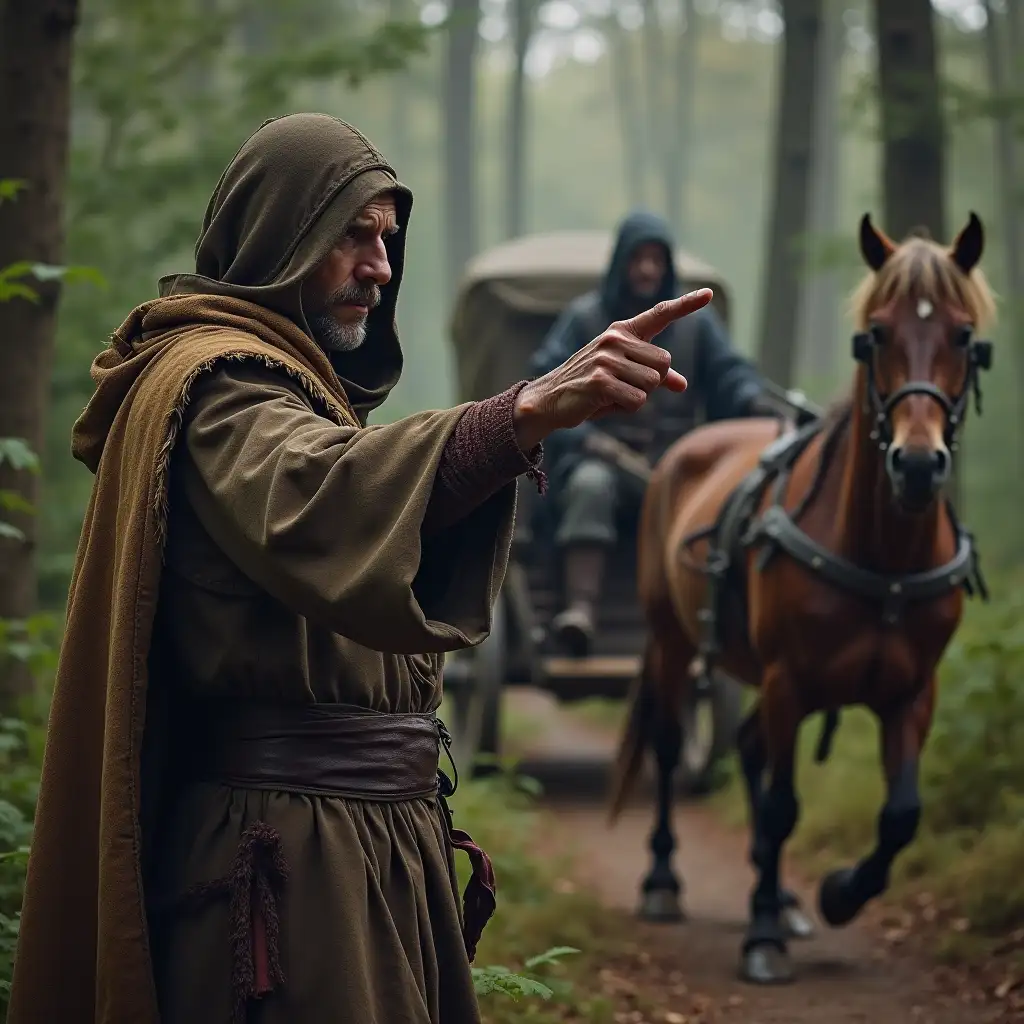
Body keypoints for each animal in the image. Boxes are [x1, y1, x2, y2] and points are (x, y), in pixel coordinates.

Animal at [606, 209, 991, 983]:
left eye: (964, 335)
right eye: (876, 333)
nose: (916, 464)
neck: (883, 555)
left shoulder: (914, 691)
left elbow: (902, 813)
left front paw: (838, 892)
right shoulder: (788, 678)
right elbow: (784, 805)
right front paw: (761, 934)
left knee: (751, 748)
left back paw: (779, 891)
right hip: (673, 640)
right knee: (671, 744)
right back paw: (664, 880)